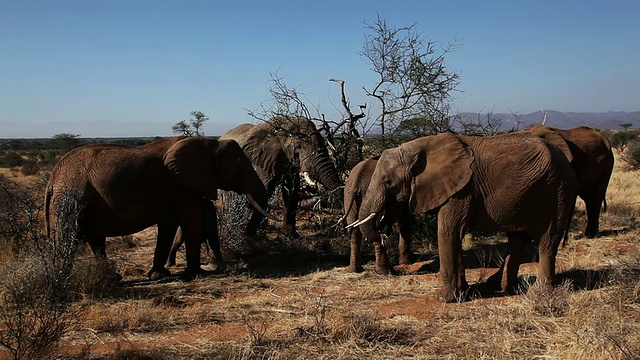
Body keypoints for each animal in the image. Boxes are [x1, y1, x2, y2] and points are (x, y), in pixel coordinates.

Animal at [44, 136, 276, 280]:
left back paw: (112, 278)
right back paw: (63, 280)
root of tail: (52, 178)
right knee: (68, 236)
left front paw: (159, 275)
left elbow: (168, 227)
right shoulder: (178, 185)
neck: (208, 143)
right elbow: (192, 221)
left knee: (95, 240)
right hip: (70, 198)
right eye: (237, 168)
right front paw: (195, 274)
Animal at [352, 131, 576, 302]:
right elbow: (455, 235)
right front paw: (464, 292)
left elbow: (448, 231)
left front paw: (443, 299)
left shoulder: (462, 189)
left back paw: (541, 293)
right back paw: (499, 286)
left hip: (557, 191)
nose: (383, 229)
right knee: (518, 240)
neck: (420, 148)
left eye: (388, 182)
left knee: (547, 240)